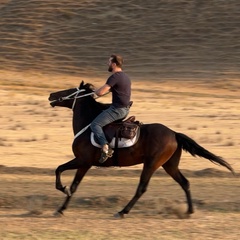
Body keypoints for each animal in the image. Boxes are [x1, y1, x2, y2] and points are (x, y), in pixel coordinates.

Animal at [48, 80, 234, 218]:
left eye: (70, 90)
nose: (51, 95)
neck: (88, 126)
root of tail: (174, 133)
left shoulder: (83, 161)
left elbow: (65, 176)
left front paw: (61, 199)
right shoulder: (83, 163)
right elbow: (67, 178)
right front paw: (61, 203)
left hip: (152, 164)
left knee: (142, 188)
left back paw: (123, 212)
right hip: (169, 165)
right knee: (185, 183)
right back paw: (189, 211)